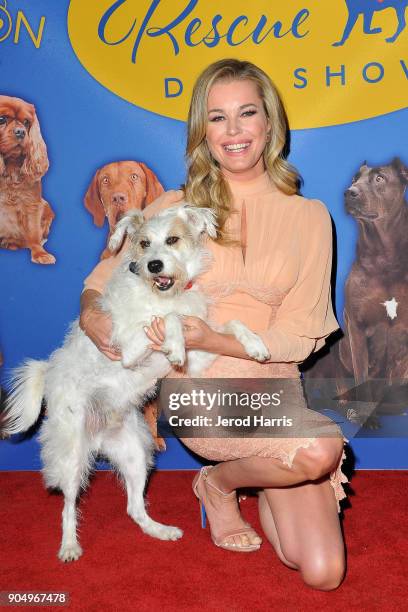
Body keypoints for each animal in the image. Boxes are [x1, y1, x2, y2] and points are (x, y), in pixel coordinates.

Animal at [0, 95, 55, 262]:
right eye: (1, 119)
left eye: (26, 122)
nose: (21, 132)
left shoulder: (32, 205)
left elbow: (33, 232)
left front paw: (40, 254)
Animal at [4, 206, 270, 564]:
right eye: (143, 243)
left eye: (172, 239)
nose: (153, 265)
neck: (162, 294)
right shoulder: (127, 351)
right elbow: (165, 320)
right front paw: (173, 342)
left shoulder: (199, 356)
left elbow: (230, 324)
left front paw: (254, 344)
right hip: (71, 457)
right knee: (68, 505)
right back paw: (70, 545)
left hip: (136, 455)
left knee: (134, 507)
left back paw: (159, 531)